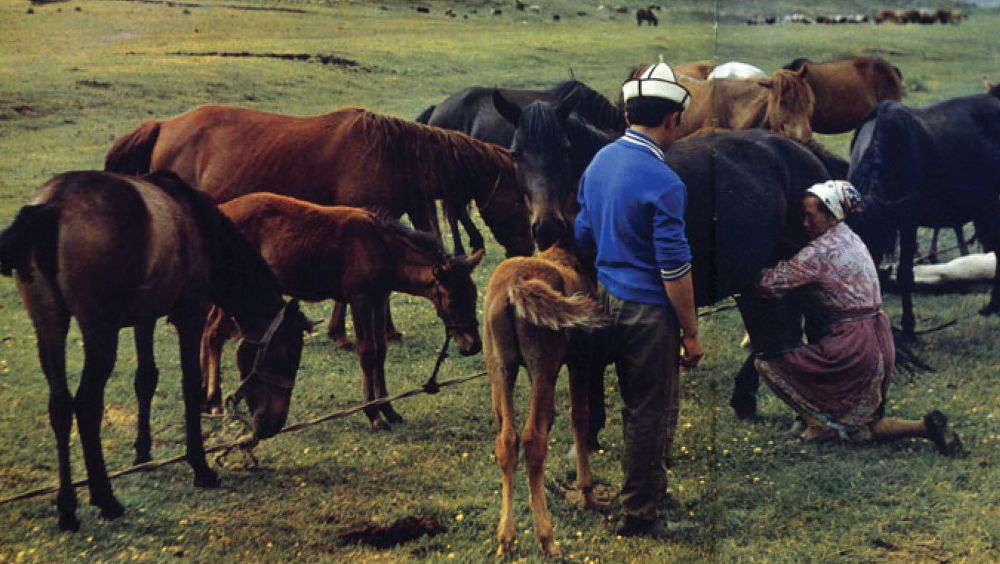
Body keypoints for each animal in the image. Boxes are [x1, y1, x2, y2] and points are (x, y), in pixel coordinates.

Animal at [0, 170, 310, 532]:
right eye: (287, 355)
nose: (275, 423)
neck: (199, 224)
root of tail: (52, 206)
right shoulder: (190, 313)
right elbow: (190, 386)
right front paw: (200, 466)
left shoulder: (144, 318)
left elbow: (145, 380)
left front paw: (143, 453)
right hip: (99, 333)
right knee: (87, 405)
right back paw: (105, 498)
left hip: (49, 326)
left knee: (60, 407)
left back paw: (67, 509)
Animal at [103, 106, 532, 350]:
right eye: (518, 198)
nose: (527, 249)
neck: (389, 153)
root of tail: (163, 126)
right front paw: (341, 334)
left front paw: (387, 330)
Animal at [201, 193, 482, 428]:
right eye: (452, 299)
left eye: (474, 295)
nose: (473, 346)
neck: (382, 247)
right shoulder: (360, 299)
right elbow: (367, 352)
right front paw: (374, 415)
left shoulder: (379, 298)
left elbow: (381, 351)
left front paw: (389, 410)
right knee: (213, 334)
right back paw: (213, 402)